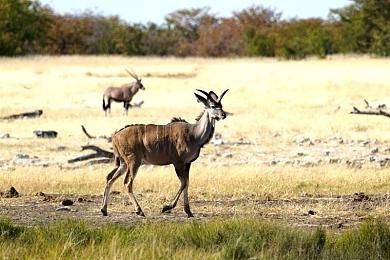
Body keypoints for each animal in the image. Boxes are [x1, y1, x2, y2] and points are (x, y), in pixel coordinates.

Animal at [100, 89, 229, 217]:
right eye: (213, 106)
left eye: (221, 105)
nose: (224, 115)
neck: (194, 134)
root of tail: (115, 136)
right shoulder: (178, 162)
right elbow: (183, 183)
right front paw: (166, 207)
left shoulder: (187, 163)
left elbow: (187, 183)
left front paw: (188, 211)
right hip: (133, 162)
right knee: (127, 183)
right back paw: (139, 210)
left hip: (124, 163)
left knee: (109, 179)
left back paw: (104, 210)